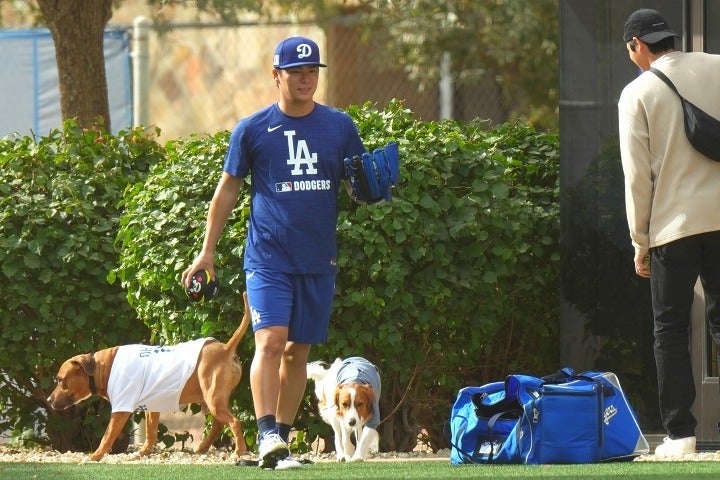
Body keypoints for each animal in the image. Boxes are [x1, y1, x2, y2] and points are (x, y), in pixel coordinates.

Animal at [46, 292, 252, 462]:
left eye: (60, 380)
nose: (47, 400)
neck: (102, 367)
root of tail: (226, 349)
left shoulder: (120, 409)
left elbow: (107, 436)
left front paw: (96, 455)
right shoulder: (152, 406)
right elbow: (151, 433)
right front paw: (143, 453)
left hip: (213, 399)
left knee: (234, 422)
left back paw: (239, 451)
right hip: (211, 401)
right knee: (218, 425)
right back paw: (203, 447)